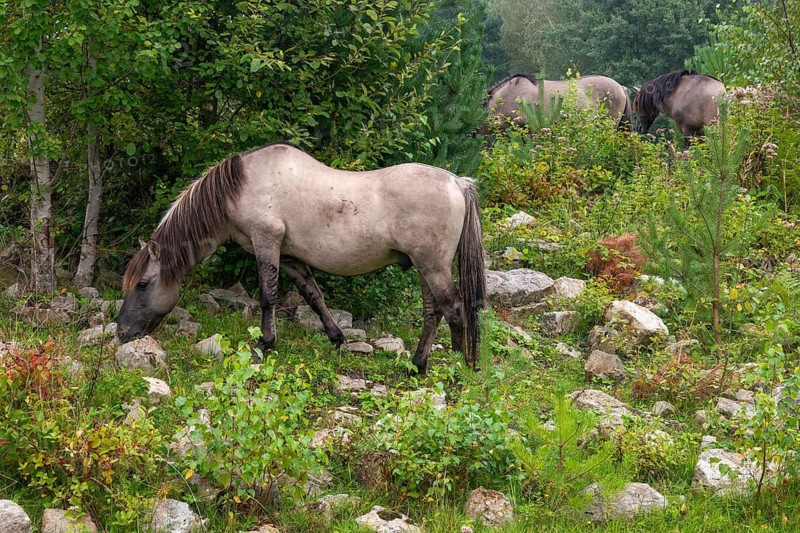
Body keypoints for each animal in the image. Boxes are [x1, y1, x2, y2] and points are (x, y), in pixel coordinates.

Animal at [116, 142, 486, 373]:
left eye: (143, 284)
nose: (122, 333)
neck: (242, 186)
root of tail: (457, 182)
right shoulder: (291, 257)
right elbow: (313, 296)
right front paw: (336, 338)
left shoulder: (266, 242)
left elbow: (268, 296)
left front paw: (265, 344)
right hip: (424, 268)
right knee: (432, 312)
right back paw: (417, 366)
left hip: (433, 266)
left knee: (453, 309)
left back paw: (457, 367)